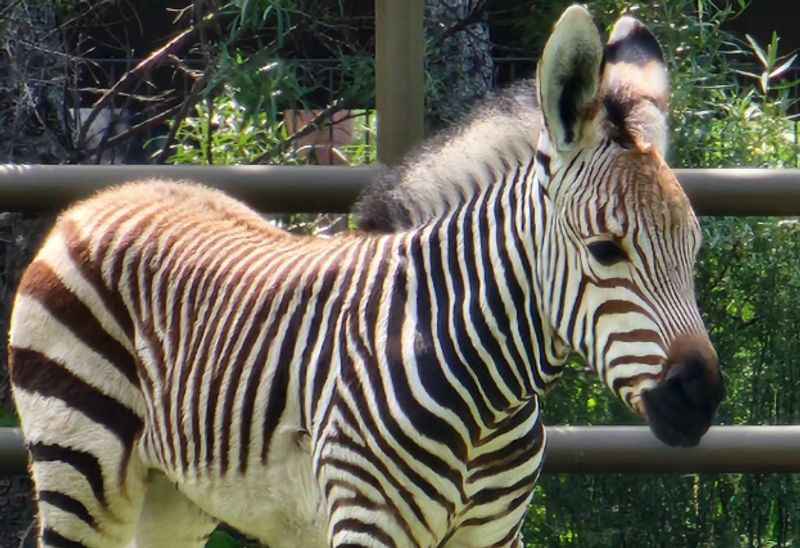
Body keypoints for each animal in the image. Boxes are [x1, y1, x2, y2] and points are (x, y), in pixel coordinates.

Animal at [7, 5, 724, 548]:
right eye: (606, 251)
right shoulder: (368, 523)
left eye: (692, 249)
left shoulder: (494, 534)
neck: (486, 393)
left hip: (175, 494)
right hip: (79, 464)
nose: (702, 397)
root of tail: (105, 195)